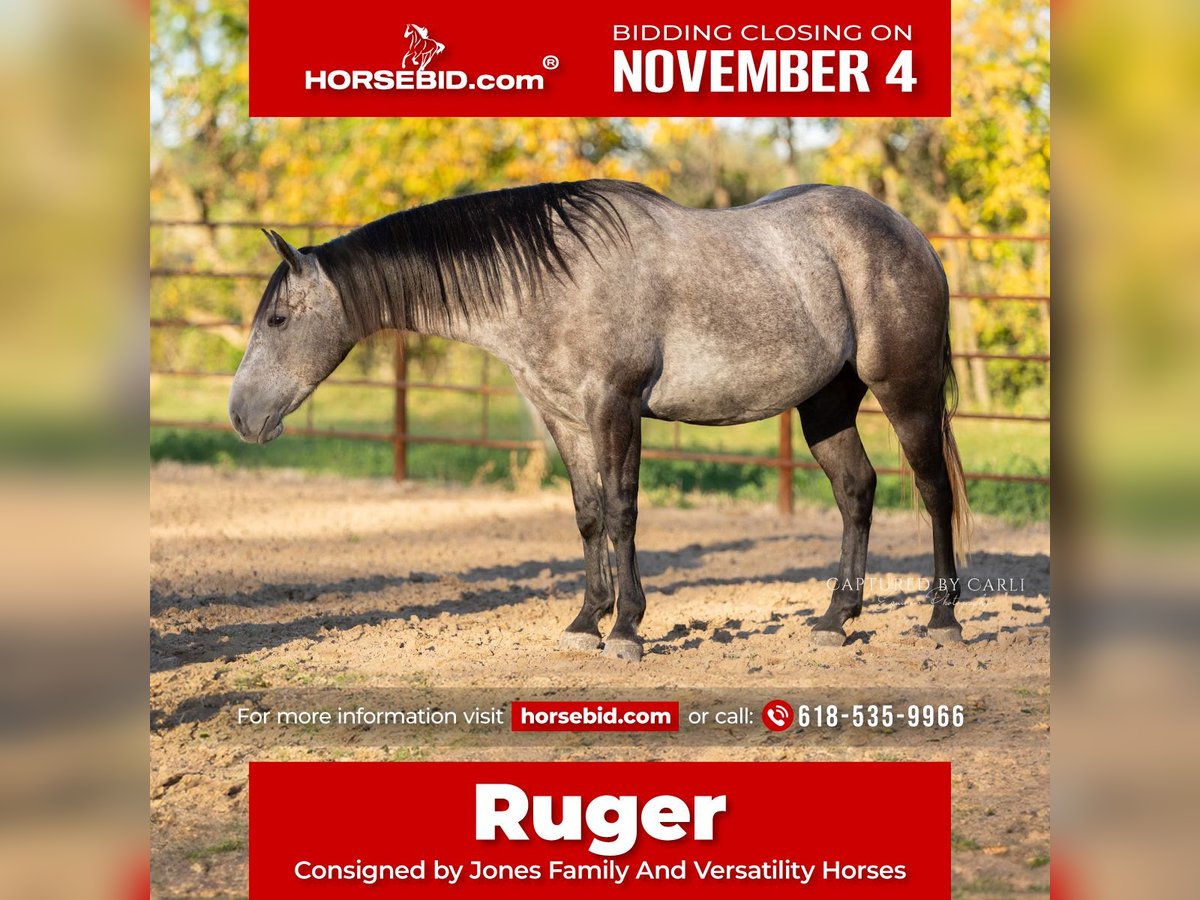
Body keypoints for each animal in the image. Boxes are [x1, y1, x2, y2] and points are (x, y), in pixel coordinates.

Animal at [229, 181, 969, 662]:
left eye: (278, 319)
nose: (240, 415)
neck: (551, 281)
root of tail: (913, 237)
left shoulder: (614, 407)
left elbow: (621, 510)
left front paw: (627, 631)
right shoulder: (564, 417)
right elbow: (588, 515)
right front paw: (586, 621)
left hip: (905, 392)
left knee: (933, 490)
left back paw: (943, 618)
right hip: (826, 403)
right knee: (856, 490)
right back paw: (835, 619)